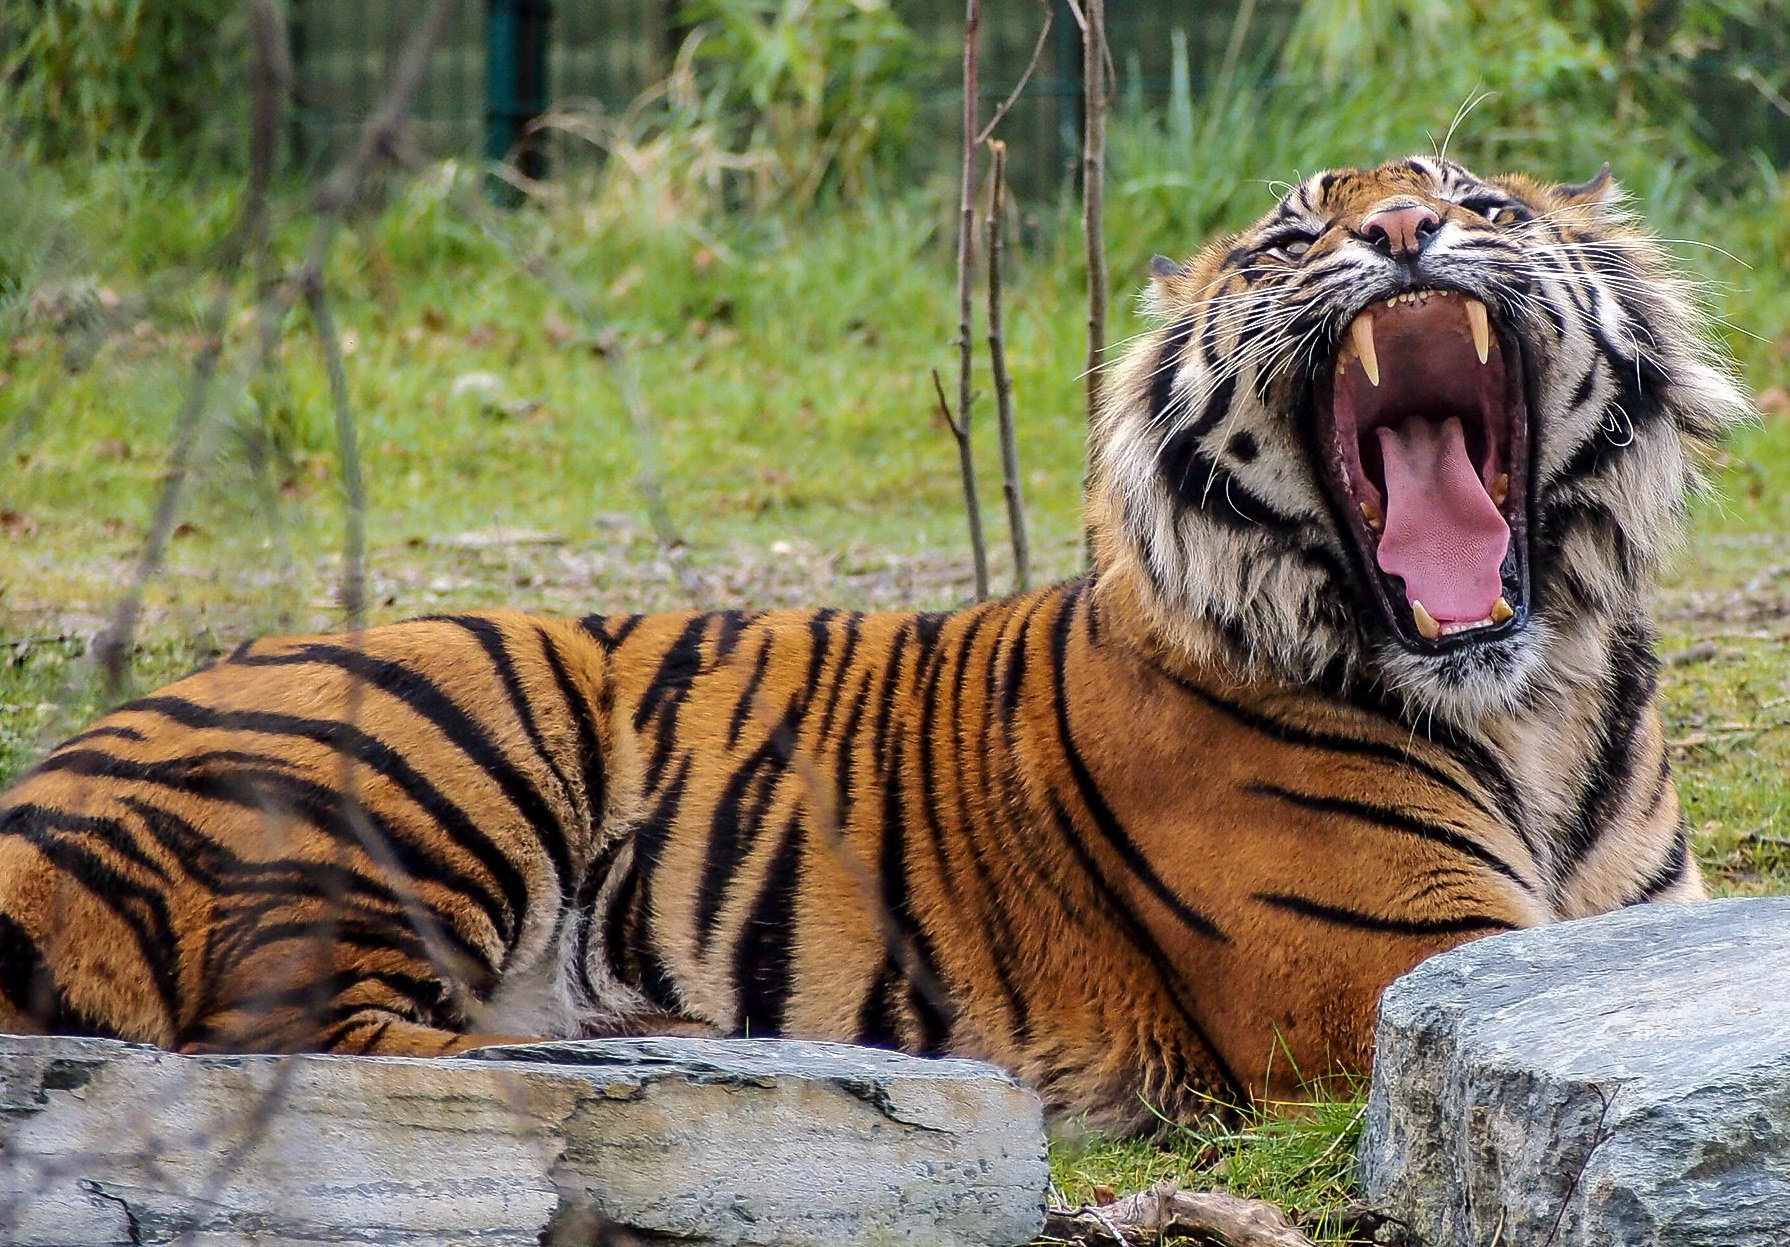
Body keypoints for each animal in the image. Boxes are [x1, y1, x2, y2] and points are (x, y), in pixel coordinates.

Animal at [0, 156, 1750, 1132]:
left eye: (1479, 207)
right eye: (1281, 246)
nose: (1396, 230)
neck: (1536, 696)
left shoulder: (1628, 934)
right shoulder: (1400, 970)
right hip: (448, 732)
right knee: (320, 1047)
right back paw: (651, 1047)